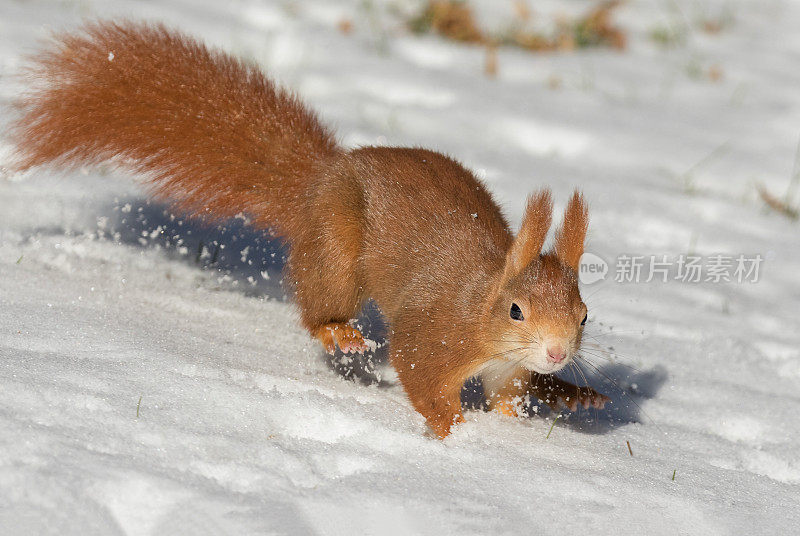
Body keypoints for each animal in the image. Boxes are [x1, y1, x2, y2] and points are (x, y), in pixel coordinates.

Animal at [9, 22, 608, 440]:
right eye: (515, 311)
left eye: (583, 315)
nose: (557, 353)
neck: (482, 309)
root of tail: (322, 179)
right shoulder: (434, 337)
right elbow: (420, 377)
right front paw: (457, 434)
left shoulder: (510, 372)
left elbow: (508, 399)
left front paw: (514, 429)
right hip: (338, 248)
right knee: (318, 307)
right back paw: (340, 333)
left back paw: (573, 394)